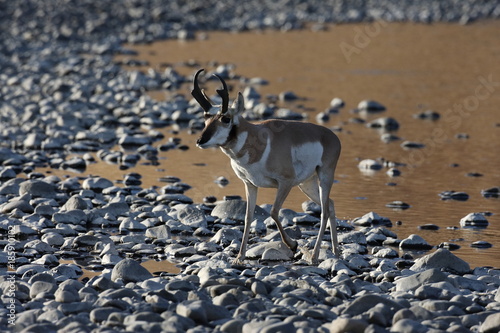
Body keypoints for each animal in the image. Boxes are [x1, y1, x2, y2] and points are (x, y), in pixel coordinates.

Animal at [191, 68, 340, 264]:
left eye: (226, 118)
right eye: (206, 117)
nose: (200, 140)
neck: (258, 142)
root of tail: (332, 137)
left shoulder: (285, 182)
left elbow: (274, 212)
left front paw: (293, 245)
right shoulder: (250, 185)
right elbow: (248, 217)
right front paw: (239, 257)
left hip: (324, 177)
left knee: (324, 211)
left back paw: (314, 256)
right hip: (306, 184)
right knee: (330, 204)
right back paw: (336, 252)